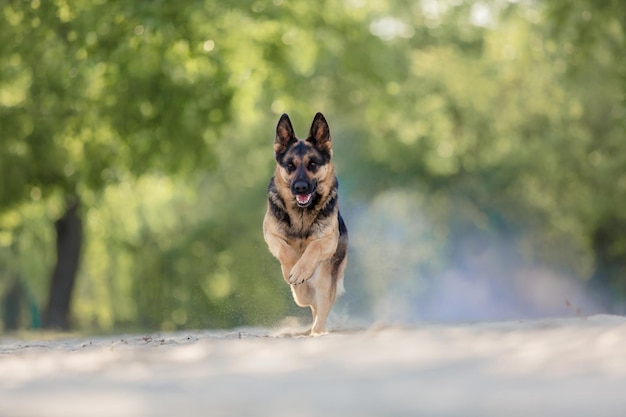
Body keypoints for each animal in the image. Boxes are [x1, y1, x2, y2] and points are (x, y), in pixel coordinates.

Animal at [262, 110, 346, 334]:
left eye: (313, 164)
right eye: (290, 166)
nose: (300, 187)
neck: (301, 216)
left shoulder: (328, 240)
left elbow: (313, 247)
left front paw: (301, 269)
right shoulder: (270, 235)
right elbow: (285, 250)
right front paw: (293, 268)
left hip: (325, 282)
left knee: (321, 309)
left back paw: (317, 332)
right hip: (303, 296)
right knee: (309, 301)